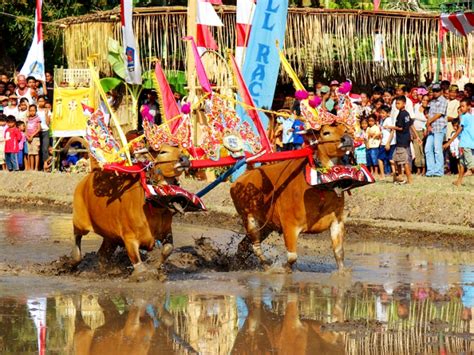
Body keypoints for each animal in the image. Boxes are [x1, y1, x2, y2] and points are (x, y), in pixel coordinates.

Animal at [71, 145, 189, 278]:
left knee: (102, 254)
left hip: (110, 237)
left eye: (180, 150)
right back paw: (74, 260)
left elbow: (168, 248)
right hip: (80, 222)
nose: (184, 159)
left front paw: (157, 266)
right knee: (77, 237)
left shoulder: (167, 231)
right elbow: (140, 266)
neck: (153, 206)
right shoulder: (129, 238)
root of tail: (85, 180)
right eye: (163, 151)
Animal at [231, 124, 354, 272]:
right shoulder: (289, 226)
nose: (347, 139)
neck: (320, 187)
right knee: (256, 247)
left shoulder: (337, 222)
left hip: (266, 225)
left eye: (345, 129)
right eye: (326, 132)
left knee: (244, 246)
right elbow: (292, 257)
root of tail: (244, 176)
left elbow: (339, 254)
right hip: (249, 220)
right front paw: (284, 268)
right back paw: (266, 265)